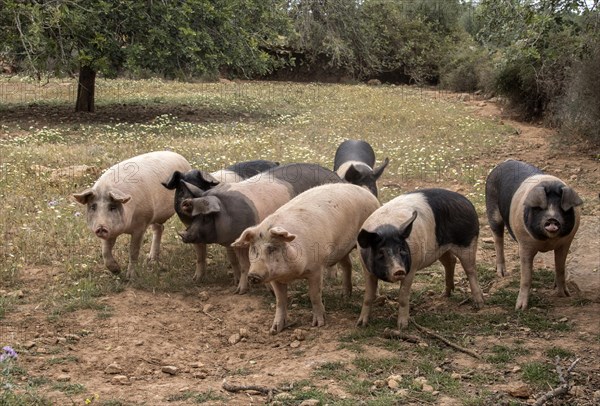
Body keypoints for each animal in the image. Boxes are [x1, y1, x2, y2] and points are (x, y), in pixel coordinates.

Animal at [72, 151, 192, 280]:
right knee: (159, 228)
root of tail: (181, 157)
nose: (101, 227)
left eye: (112, 207)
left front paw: (131, 277)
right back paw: (150, 260)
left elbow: (133, 251)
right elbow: (105, 252)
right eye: (93, 207)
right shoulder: (111, 231)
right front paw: (116, 271)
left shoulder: (141, 224)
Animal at [177, 163, 342, 294]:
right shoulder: (236, 243)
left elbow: (247, 265)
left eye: (206, 217)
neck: (227, 212)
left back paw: (332, 278)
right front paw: (238, 289)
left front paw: (241, 291)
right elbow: (241, 264)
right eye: (194, 216)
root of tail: (337, 177)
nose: (184, 235)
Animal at [231, 182, 380, 334]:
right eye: (254, 249)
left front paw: (318, 324)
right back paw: (344, 296)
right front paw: (274, 330)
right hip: (341, 249)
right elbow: (280, 301)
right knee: (347, 265)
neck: (291, 274)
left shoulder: (316, 268)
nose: (253, 275)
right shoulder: (275, 278)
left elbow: (314, 295)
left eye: (272, 248)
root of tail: (366, 192)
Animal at [354, 188, 486, 330]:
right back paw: (444, 294)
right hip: (440, 248)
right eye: (380, 252)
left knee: (470, 270)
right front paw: (361, 324)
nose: (399, 270)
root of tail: (467, 202)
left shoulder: (411, 269)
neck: (386, 228)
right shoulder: (367, 270)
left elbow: (403, 297)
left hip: (468, 242)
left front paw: (402, 327)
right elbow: (368, 297)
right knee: (450, 261)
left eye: (402, 250)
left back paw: (479, 304)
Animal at [486, 160, 584, 310]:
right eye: (540, 208)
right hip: (492, 211)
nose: (552, 219)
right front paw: (520, 308)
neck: (547, 241)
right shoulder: (525, 244)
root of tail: (505, 162)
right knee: (498, 240)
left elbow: (560, 268)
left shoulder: (566, 242)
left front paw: (565, 295)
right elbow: (526, 277)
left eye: (561, 208)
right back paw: (502, 274)